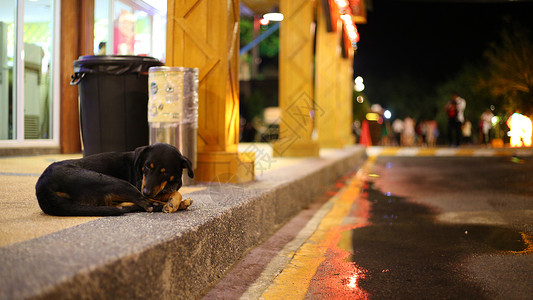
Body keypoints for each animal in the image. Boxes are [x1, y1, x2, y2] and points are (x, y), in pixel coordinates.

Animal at [35, 143, 193, 216]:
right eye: (148, 166)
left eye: (165, 172)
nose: (146, 191)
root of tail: (42, 188)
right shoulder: (140, 185)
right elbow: (173, 193)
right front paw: (173, 203)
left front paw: (177, 202)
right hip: (115, 182)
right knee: (146, 204)